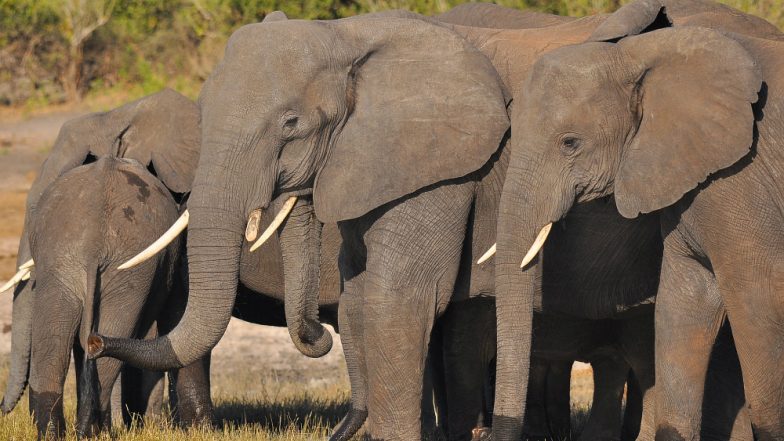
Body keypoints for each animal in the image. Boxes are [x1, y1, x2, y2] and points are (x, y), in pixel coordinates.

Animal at [22, 156, 183, 439]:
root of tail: (94, 244)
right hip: (120, 269)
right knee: (104, 344)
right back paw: (93, 432)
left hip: (67, 263)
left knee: (56, 343)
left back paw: (64, 433)